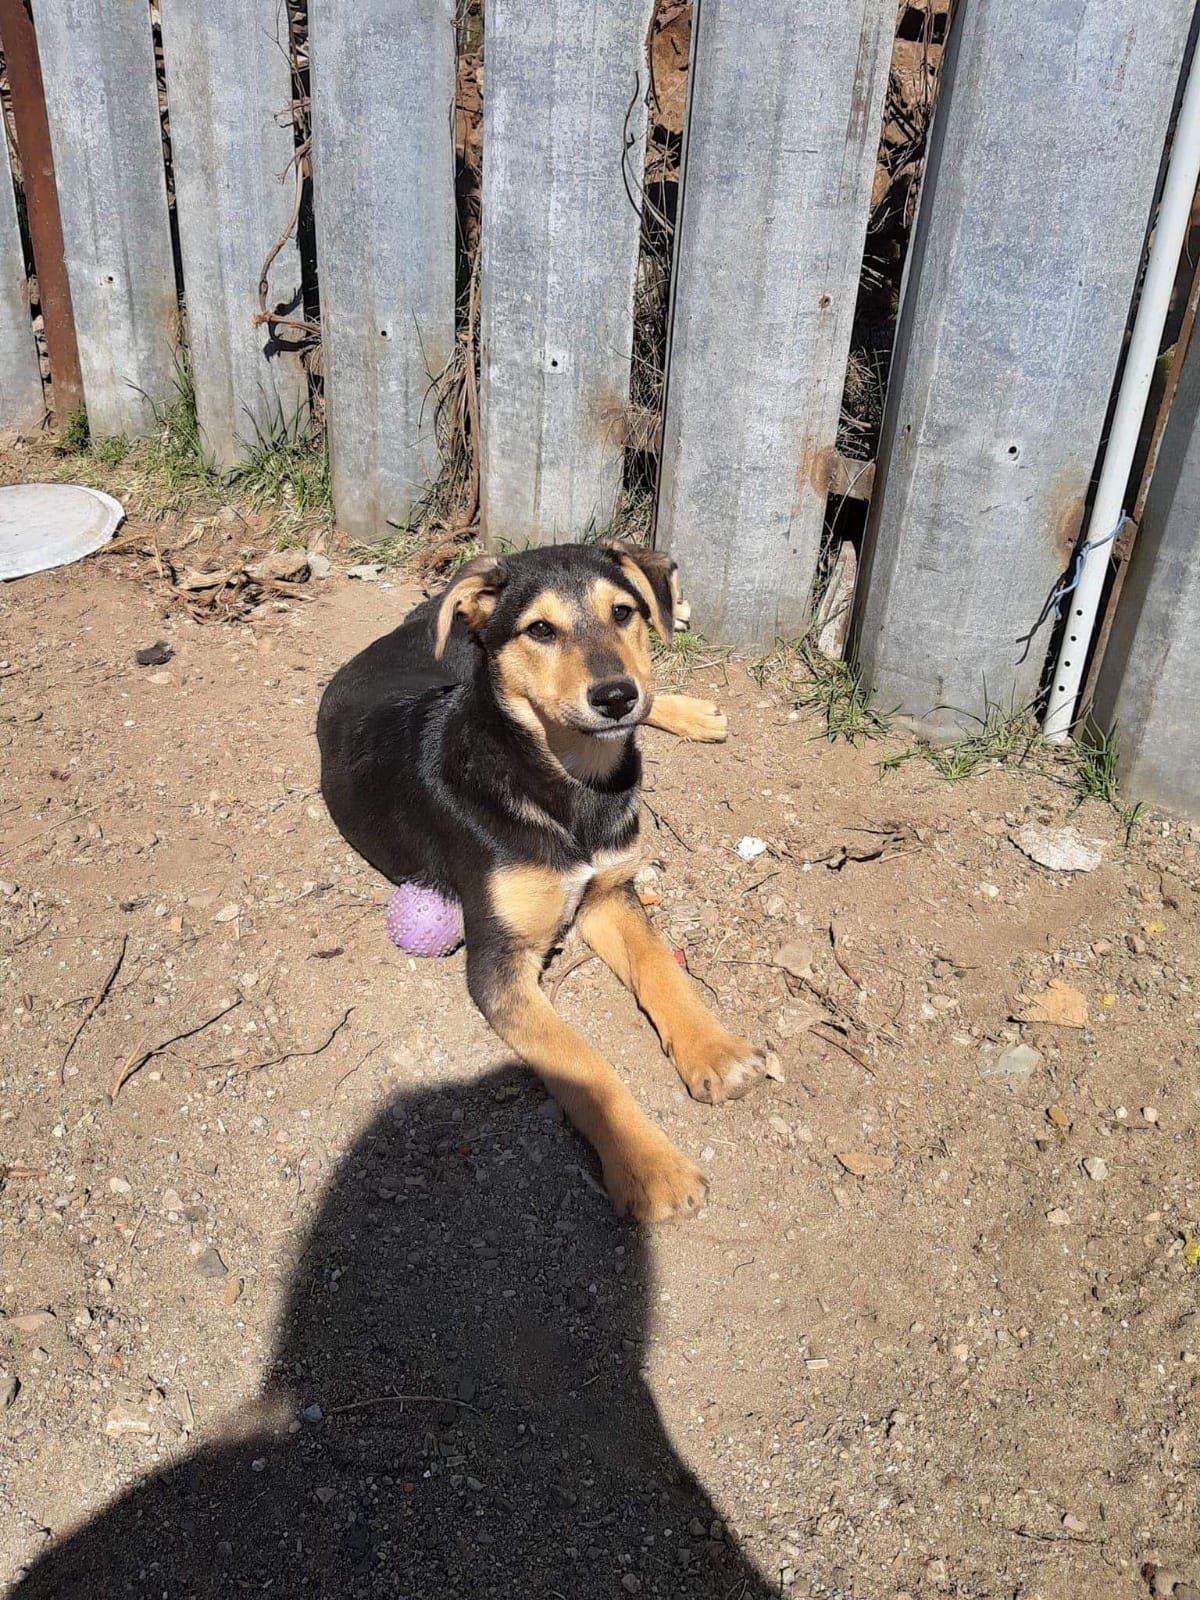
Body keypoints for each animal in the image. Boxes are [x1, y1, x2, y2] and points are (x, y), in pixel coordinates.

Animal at [317, 543, 765, 1222]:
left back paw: (690, 711)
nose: (615, 696)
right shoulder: (500, 965)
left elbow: (662, 968)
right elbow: (586, 1065)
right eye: (540, 630)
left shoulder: (609, 892)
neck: (567, 781)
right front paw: (652, 1167)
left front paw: (715, 1050)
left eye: (623, 612)